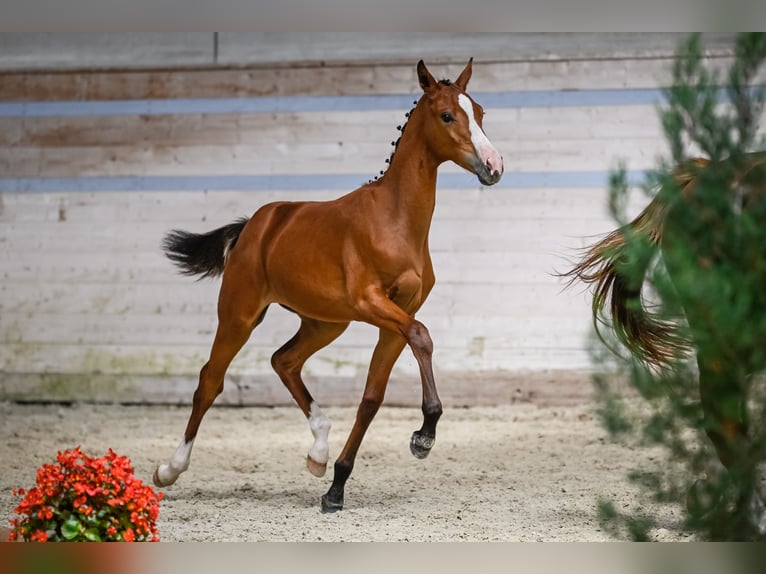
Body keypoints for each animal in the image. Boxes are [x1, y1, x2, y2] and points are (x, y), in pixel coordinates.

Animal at [154, 59, 508, 512]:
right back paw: (170, 469)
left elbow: (373, 396)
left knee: (284, 361)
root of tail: (254, 224)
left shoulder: (397, 314)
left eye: (479, 112)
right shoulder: (371, 303)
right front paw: (424, 435)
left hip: (324, 323)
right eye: (447, 115)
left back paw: (318, 453)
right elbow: (422, 336)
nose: (493, 166)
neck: (395, 219)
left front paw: (336, 486)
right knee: (209, 381)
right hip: (239, 314)